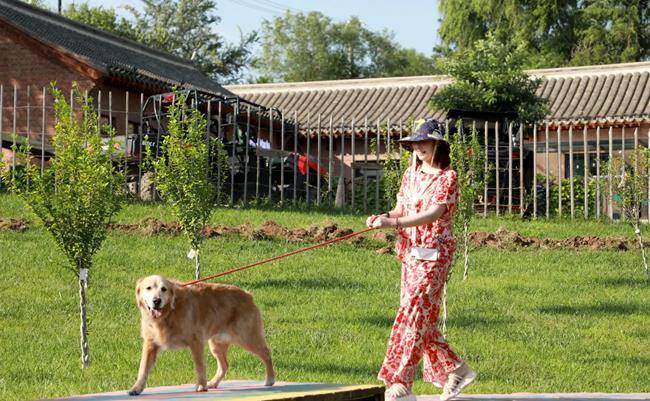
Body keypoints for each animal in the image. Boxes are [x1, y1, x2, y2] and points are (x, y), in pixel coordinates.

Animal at [129, 276, 274, 394]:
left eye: (163, 289)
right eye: (148, 288)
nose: (156, 300)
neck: (169, 313)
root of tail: (248, 295)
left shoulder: (196, 341)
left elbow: (199, 365)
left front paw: (201, 385)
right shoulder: (150, 344)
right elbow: (143, 368)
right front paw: (136, 388)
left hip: (247, 337)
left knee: (266, 354)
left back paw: (270, 379)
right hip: (216, 344)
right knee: (224, 365)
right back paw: (213, 383)